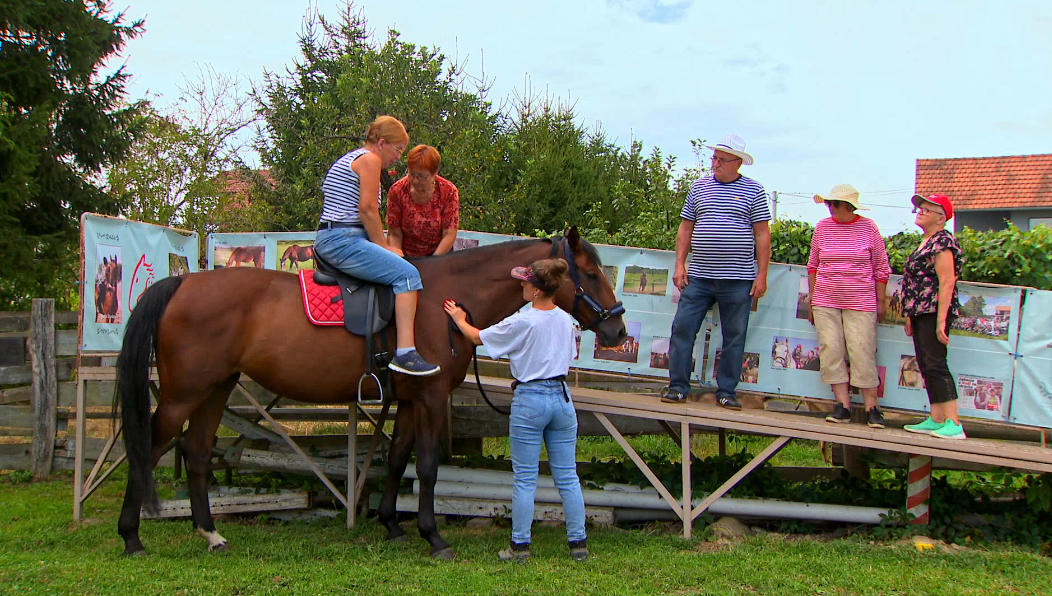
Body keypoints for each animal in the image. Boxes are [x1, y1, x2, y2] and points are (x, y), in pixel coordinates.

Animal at [115, 227, 622, 559]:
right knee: (147, 448)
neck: (442, 300)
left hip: (215, 390)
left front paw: (392, 523)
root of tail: (183, 281)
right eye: (591, 273)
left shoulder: (413, 400)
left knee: (197, 452)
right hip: (182, 395)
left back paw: (211, 534)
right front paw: (432, 536)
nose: (616, 329)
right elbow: (428, 467)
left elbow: (397, 460)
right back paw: (131, 537)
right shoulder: (432, 398)